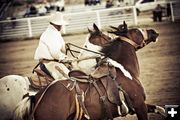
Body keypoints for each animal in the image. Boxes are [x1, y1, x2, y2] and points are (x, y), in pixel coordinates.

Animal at [14, 22, 165, 120]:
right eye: (137, 31)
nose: (153, 31)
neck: (124, 70)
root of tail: (36, 98)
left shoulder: (138, 106)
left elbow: (160, 109)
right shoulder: (139, 105)